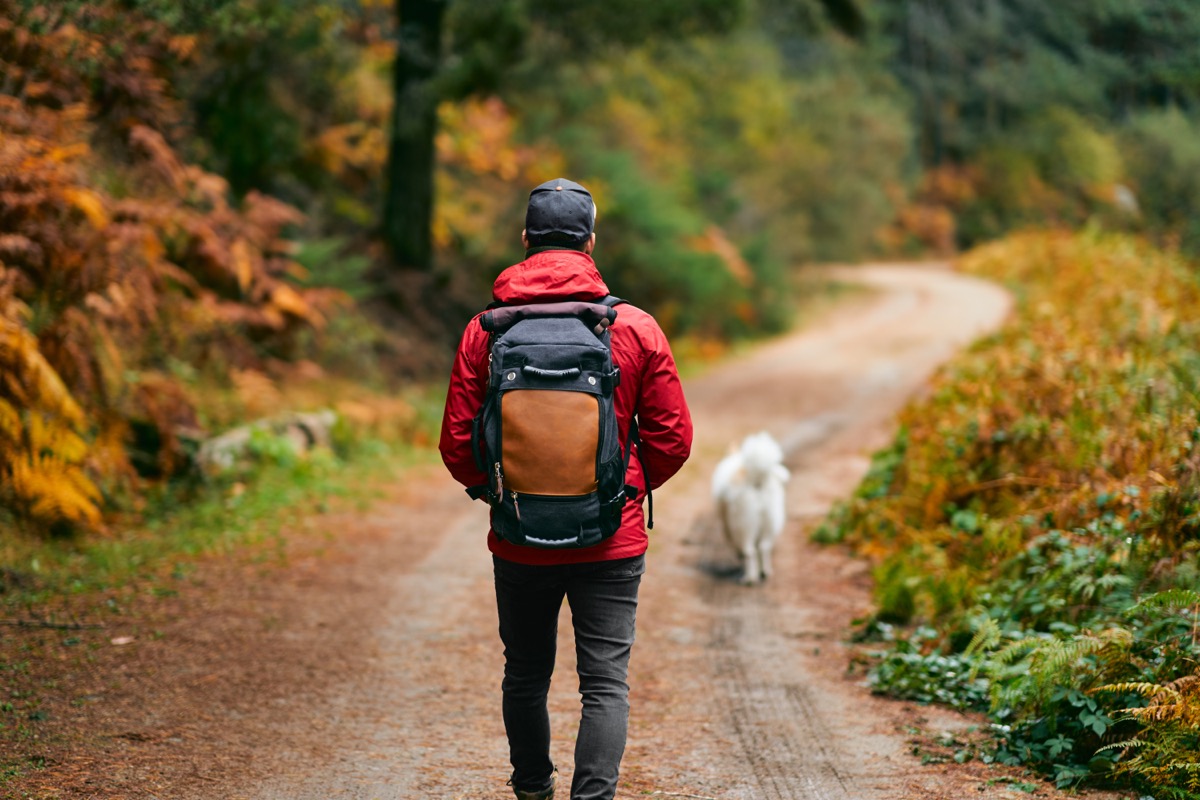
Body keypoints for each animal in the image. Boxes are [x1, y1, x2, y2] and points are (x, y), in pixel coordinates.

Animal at [710, 434, 787, 585]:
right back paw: (765, 572)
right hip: (770, 521)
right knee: (764, 547)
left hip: (744, 526)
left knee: (749, 551)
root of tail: (757, 478)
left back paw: (749, 578)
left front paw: (739, 556)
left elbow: (737, 545)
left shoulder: (728, 525)